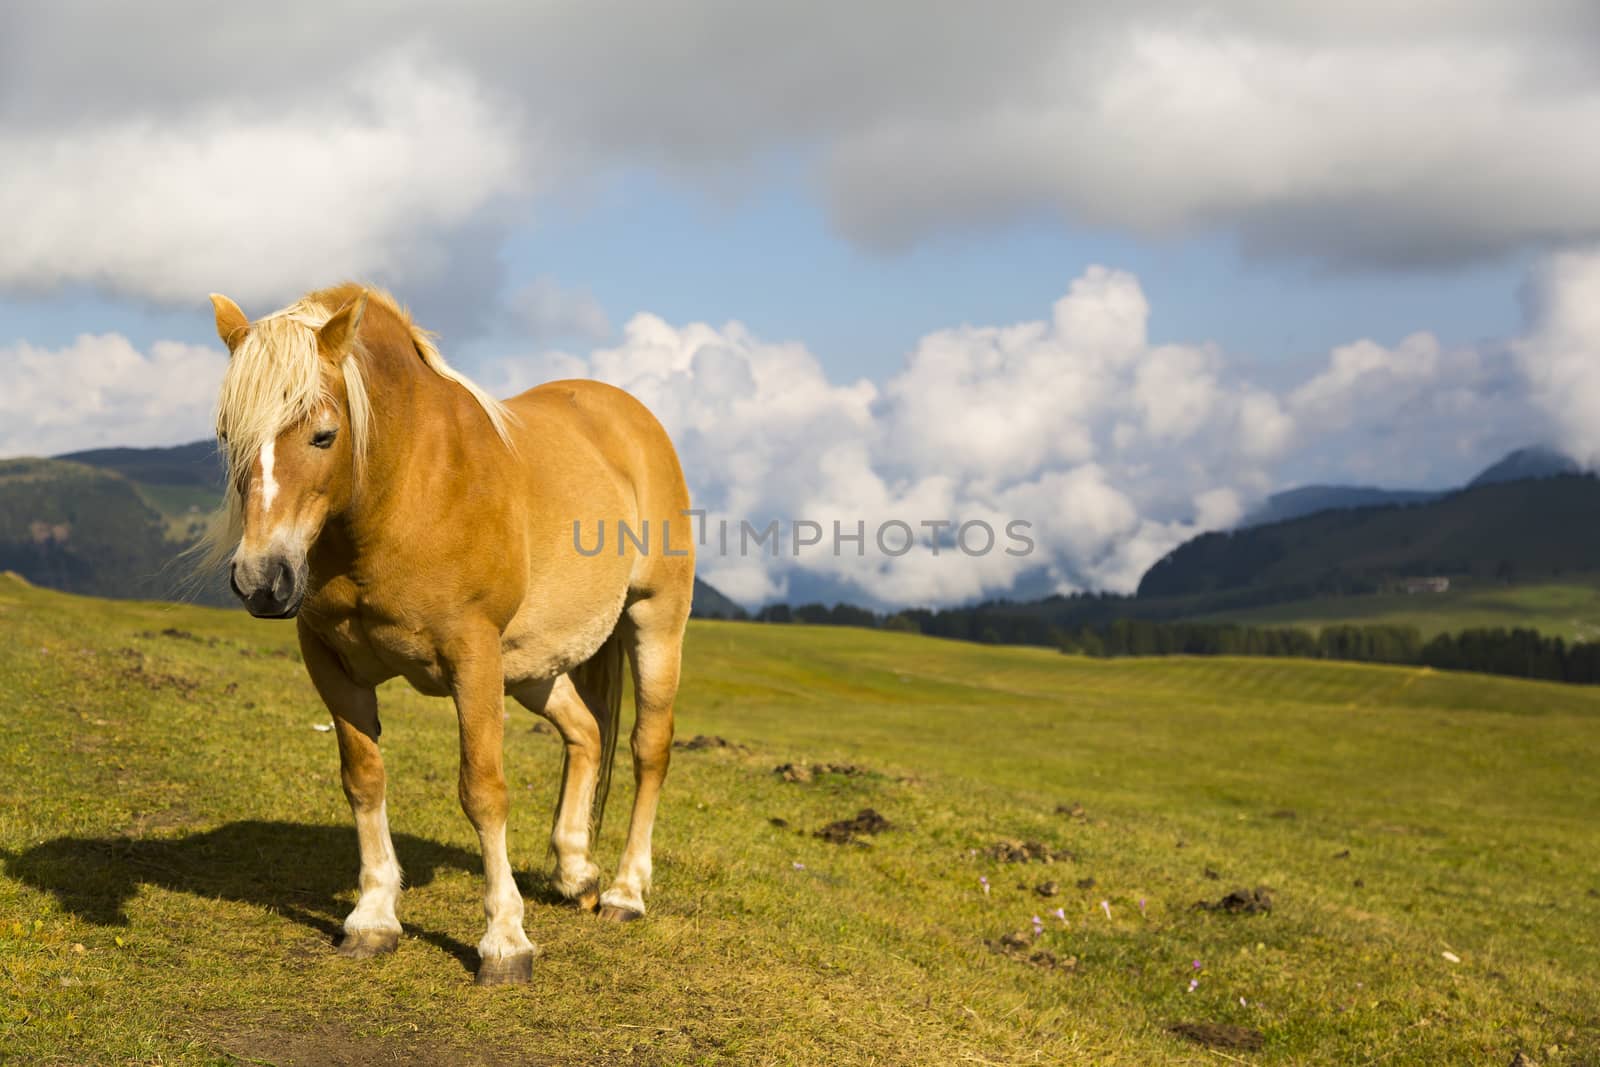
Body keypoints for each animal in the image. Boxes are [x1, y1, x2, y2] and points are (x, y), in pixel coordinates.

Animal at [200, 283, 694, 985]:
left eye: (324, 434)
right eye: (226, 434)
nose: (261, 581)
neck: (408, 489)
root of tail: (631, 417)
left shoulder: (473, 659)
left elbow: (483, 793)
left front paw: (505, 941)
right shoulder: (329, 662)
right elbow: (364, 779)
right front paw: (373, 917)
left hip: (654, 622)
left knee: (647, 749)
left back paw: (626, 892)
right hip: (535, 668)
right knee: (586, 733)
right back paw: (575, 871)